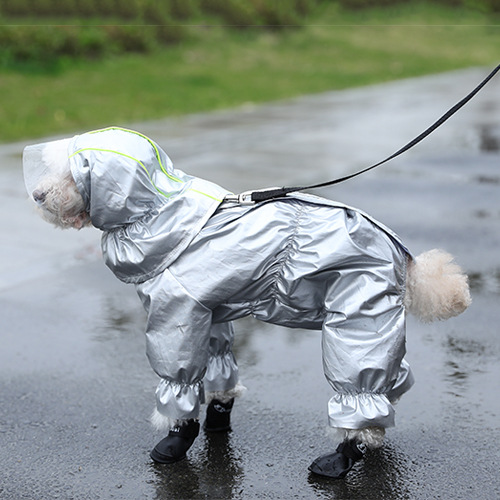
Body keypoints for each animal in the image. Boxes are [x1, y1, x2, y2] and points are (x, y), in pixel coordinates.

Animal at [22, 127, 468, 478]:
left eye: (71, 173)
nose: (38, 195)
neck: (162, 213)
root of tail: (406, 258)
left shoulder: (177, 313)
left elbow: (179, 378)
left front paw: (176, 438)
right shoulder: (211, 311)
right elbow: (219, 366)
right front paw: (217, 419)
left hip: (357, 314)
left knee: (359, 388)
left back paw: (343, 455)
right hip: (376, 315)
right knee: (393, 376)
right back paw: (374, 431)